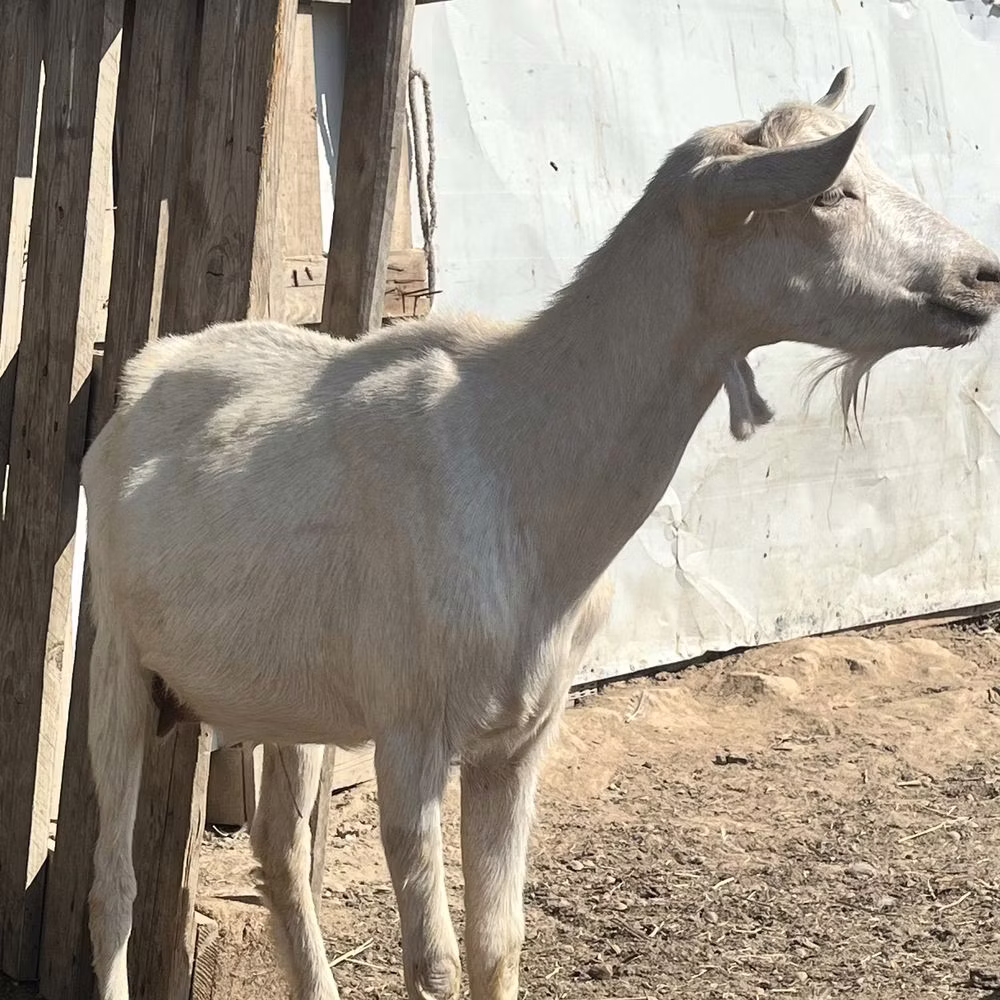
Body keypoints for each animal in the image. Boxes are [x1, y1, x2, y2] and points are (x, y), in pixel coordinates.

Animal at [83, 68, 999, 1000]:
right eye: (832, 192)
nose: (983, 275)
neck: (517, 458)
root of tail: (145, 373)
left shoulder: (520, 739)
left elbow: (499, 942)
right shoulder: (411, 735)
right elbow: (435, 961)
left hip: (291, 696)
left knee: (279, 850)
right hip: (117, 656)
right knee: (112, 884)